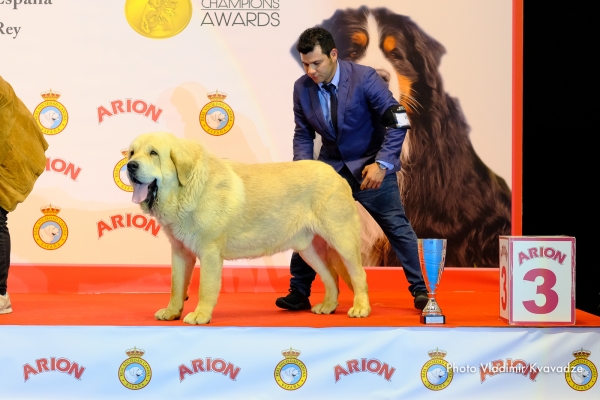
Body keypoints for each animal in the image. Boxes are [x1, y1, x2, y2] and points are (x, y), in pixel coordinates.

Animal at [127, 133, 370, 324]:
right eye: (131, 153)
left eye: (153, 153)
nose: (130, 166)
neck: (184, 190)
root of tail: (337, 175)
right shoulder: (180, 252)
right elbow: (176, 286)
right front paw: (172, 312)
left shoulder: (209, 251)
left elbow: (205, 287)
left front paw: (200, 315)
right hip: (309, 250)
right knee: (331, 277)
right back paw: (328, 305)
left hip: (342, 240)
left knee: (358, 275)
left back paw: (361, 308)